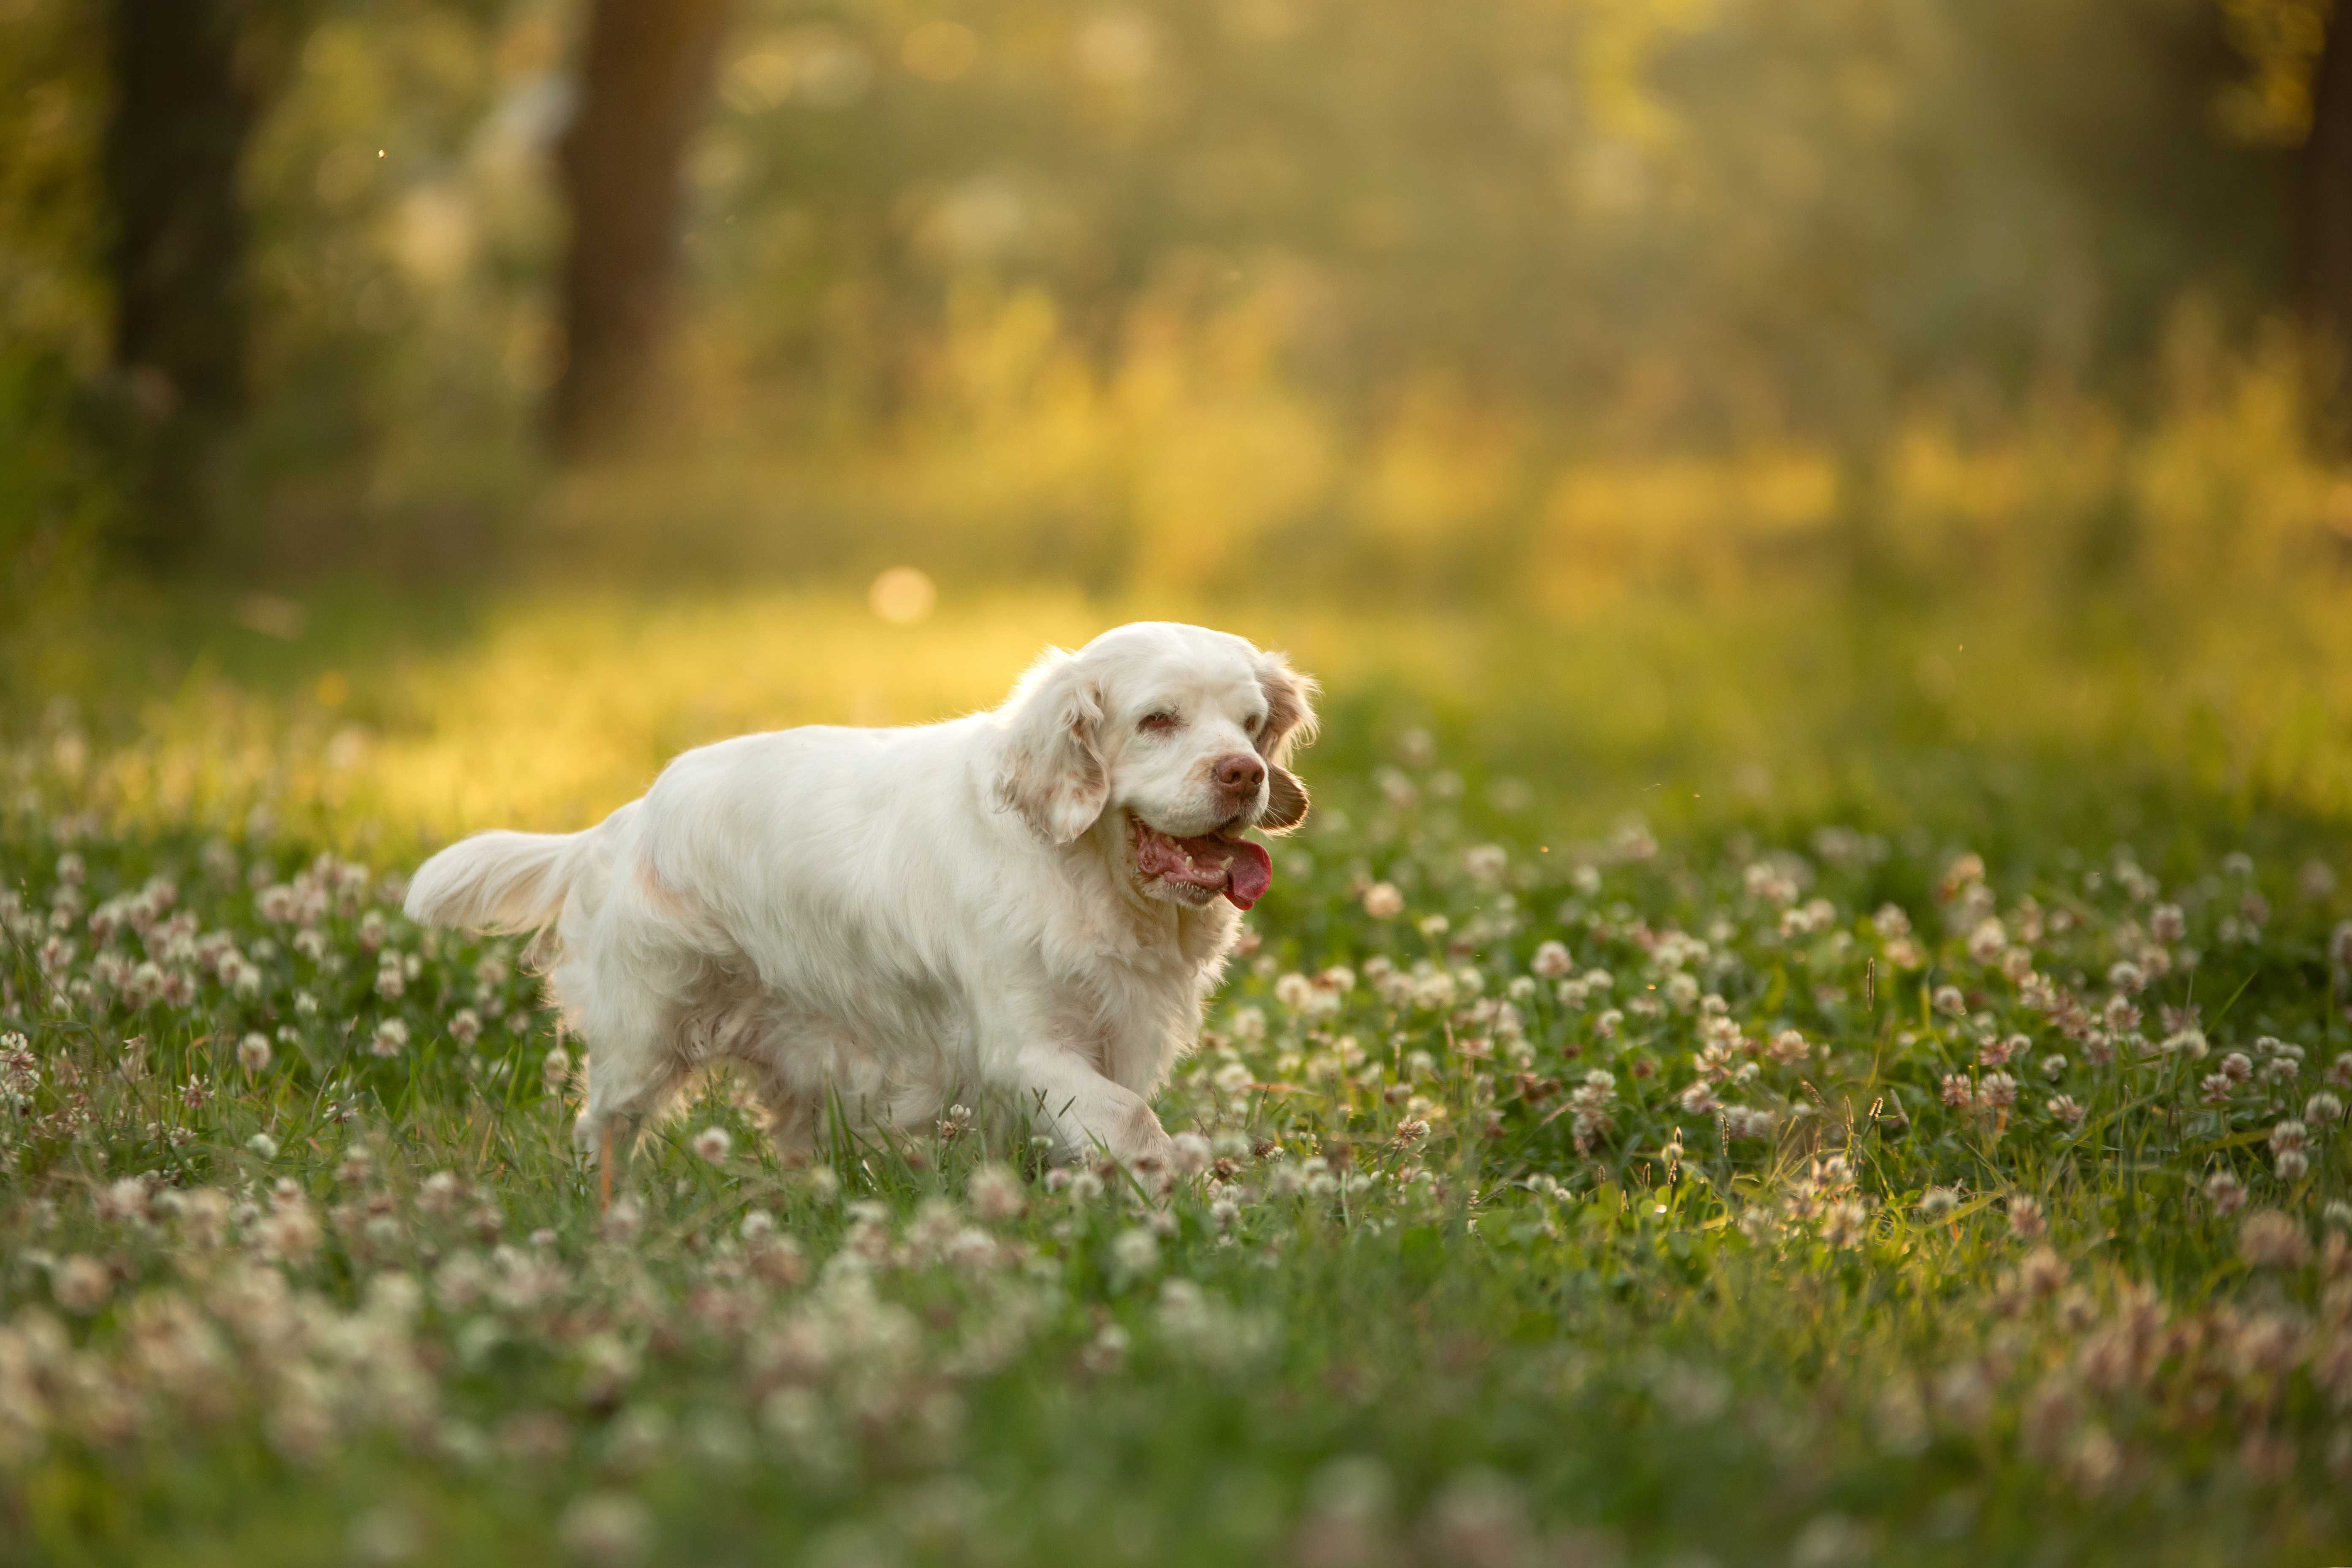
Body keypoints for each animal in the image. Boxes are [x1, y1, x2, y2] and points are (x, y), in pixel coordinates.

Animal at [411, 620, 1317, 1175]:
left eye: (1251, 723)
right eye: (1157, 719)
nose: (1245, 774)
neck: (1088, 875)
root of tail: (626, 821)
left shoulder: (1118, 1032)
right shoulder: (1026, 1043)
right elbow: (1129, 1119)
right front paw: (1170, 1179)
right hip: (644, 1036)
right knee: (602, 1127)